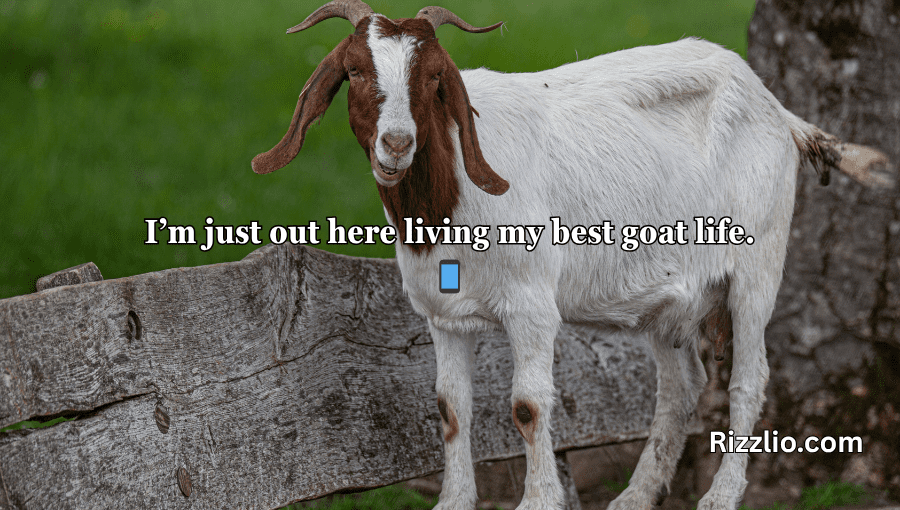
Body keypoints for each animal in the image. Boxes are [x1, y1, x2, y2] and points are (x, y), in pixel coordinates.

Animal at [252, 1, 891, 509]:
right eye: (355, 71)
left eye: (434, 79)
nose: (397, 143)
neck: (451, 197)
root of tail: (778, 110)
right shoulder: (443, 315)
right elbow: (451, 408)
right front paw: (454, 502)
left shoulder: (533, 306)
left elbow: (528, 406)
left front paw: (539, 502)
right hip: (674, 296)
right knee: (682, 384)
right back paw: (635, 497)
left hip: (758, 263)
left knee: (748, 380)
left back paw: (719, 497)